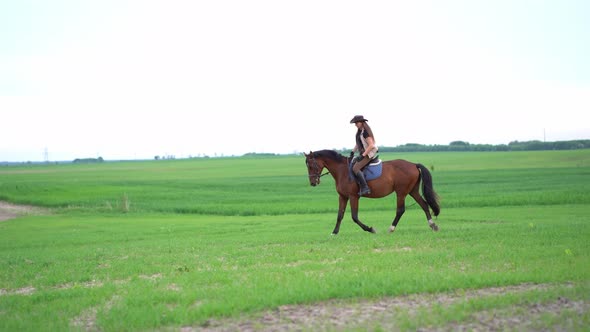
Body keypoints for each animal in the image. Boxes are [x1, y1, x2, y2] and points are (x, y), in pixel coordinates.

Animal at [306, 149, 440, 235]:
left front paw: (370, 229)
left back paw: (391, 228)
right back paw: (433, 225)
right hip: (412, 191)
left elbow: (354, 217)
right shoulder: (343, 197)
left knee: (400, 210)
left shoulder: (353, 197)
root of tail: (413, 164)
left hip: (401, 192)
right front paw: (334, 232)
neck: (342, 171)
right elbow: (340, 215)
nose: (313, 182)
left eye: (311, 165)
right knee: (424, 205)